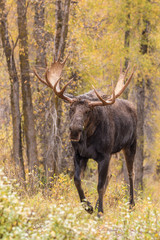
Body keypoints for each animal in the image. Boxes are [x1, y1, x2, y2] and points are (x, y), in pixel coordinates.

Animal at [34, 55, 137, 217]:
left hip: (131, 144)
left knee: (131, 172)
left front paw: (100, 212)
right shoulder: (79, 154)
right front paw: (88, 206)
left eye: (88, 111)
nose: (75, 129)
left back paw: (131, 205)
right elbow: (77, 180)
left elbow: (99, 186)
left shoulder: (105, 155)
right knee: (110, 176)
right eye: (71, 108)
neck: (88, 139)